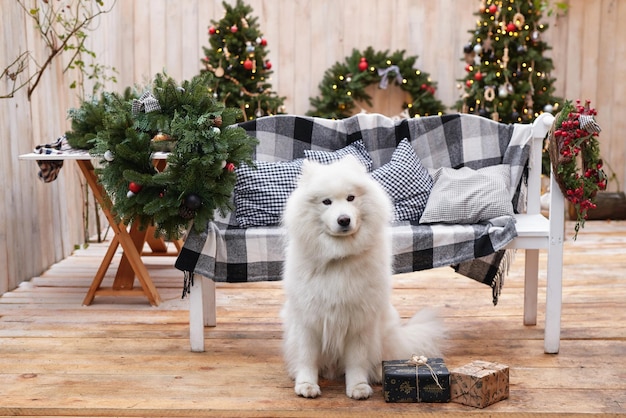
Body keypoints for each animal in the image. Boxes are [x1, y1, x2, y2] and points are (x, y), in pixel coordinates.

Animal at [280, 155, 442, 400]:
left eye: (351, 198)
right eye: (326, 202)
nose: (344, 219)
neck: (339, 257)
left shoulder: (359, 320)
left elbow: (357, 360)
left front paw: (358, 387)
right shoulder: (308, 319)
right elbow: (307, 357)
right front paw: (306, 385)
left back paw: (377, 374)